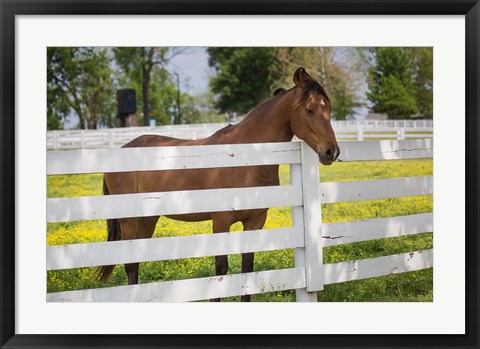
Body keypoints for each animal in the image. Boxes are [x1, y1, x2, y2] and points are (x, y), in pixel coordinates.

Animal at [96, 66, 338, 300]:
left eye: (329, 109)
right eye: (309, 109)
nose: (331, 152)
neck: (245, 159)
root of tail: (123, 150)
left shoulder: (255, 222)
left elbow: (247, 268)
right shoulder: (221, 222)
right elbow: (220, 270)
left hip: (147, 219)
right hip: (129, 221)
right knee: (130, 264)